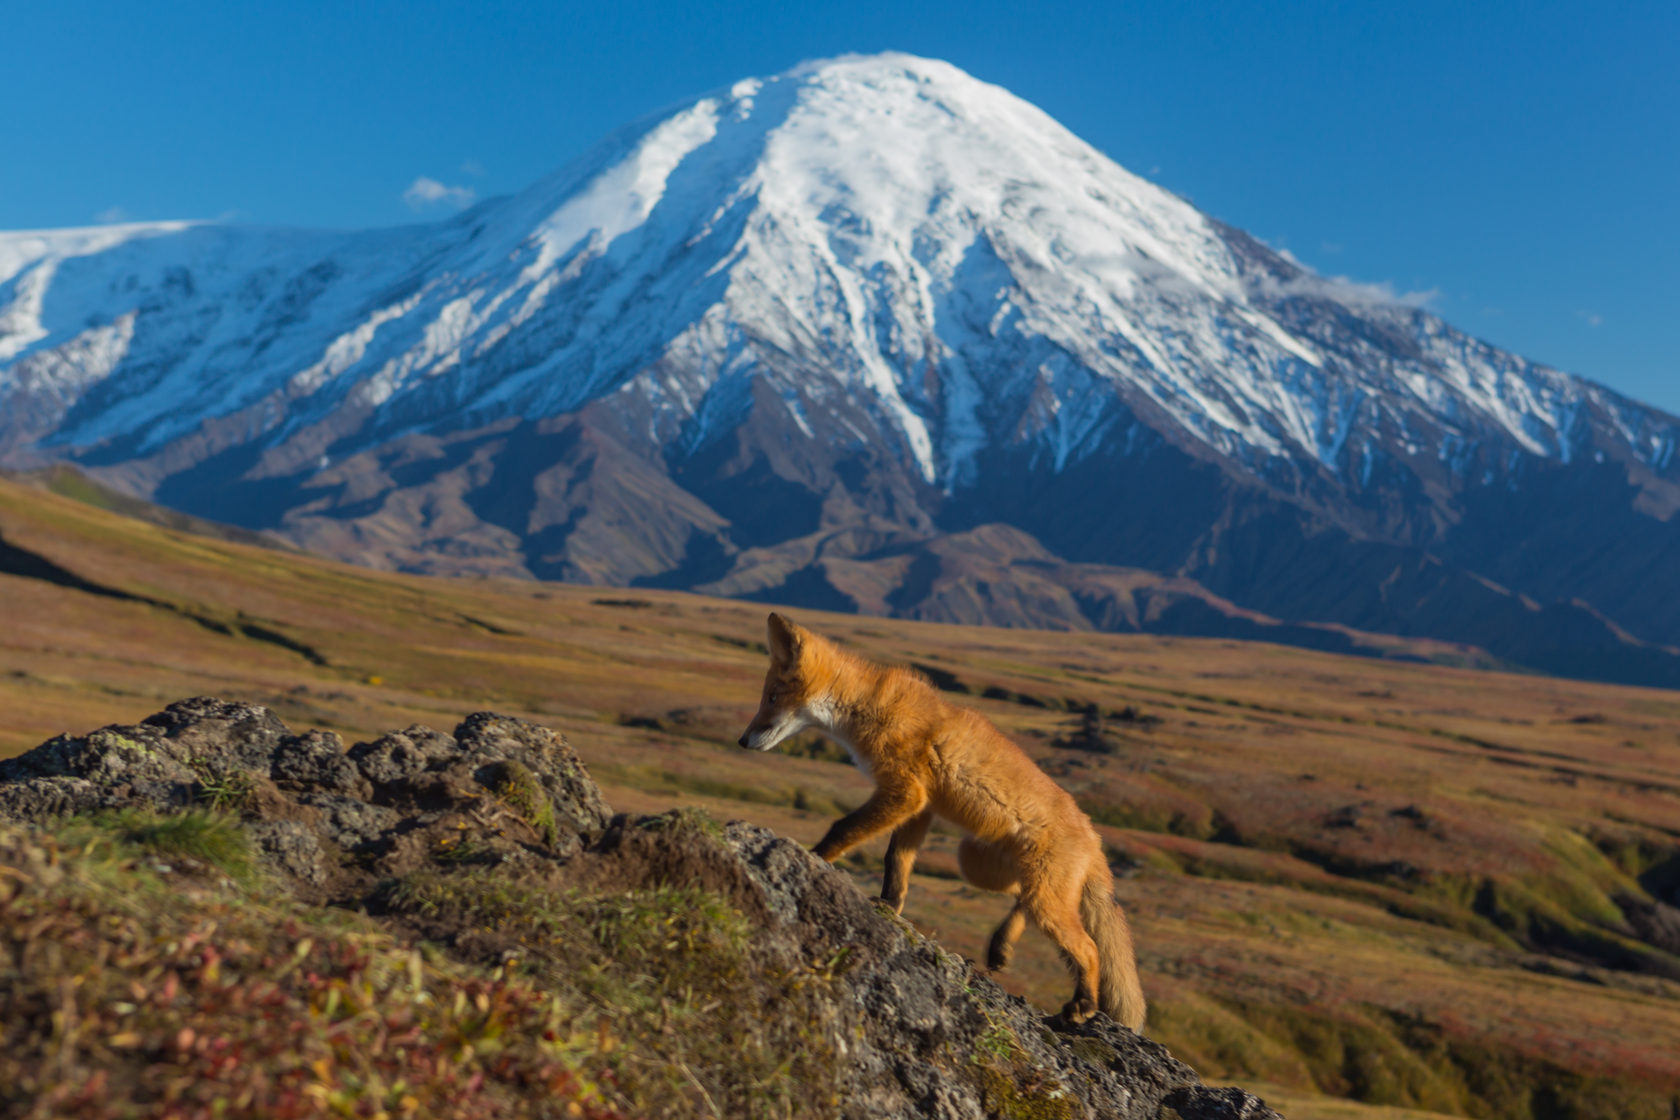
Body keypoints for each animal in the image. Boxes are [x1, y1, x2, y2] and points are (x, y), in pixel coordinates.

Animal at [735, 614, 1142, 1034]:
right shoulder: (920, 806)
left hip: (1040, 896)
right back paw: (1002, 946)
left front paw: (813, 857)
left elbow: (842, 830)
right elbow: (897, 863)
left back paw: (1083, 1006)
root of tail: (1094, 835)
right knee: (1022, 900)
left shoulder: (905, 794)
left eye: (771, 698)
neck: (868, 707)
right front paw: (889, 906)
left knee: (1088, 948)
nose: (743, 741)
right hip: (978, 863)